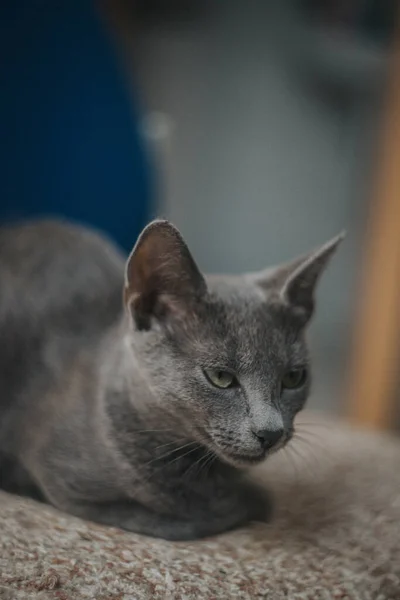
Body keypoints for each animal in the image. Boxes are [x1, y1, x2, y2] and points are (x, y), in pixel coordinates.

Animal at [0, 218, 344, 540]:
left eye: (293, 378)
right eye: (220, 377)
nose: (270, 432)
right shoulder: (66, 483)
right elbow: (196, 518)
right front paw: (246, 502)